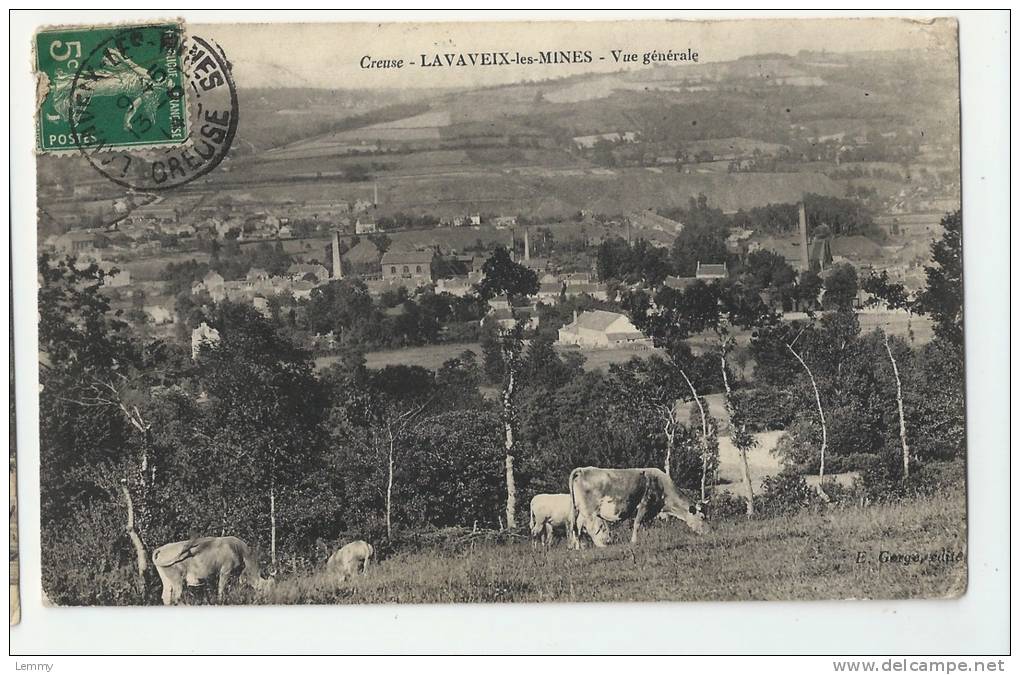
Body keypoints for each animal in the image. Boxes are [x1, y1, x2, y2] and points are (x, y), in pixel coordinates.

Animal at [571, 471, 705, 550]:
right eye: (702, 517)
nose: (707, 531)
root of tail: (582, 470)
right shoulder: (644, 504)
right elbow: (637, 524)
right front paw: (634, 541)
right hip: (589, 511)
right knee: (589, 527)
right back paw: (600, 545)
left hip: (580, 511)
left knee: (577, 527)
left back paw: (578, 546)